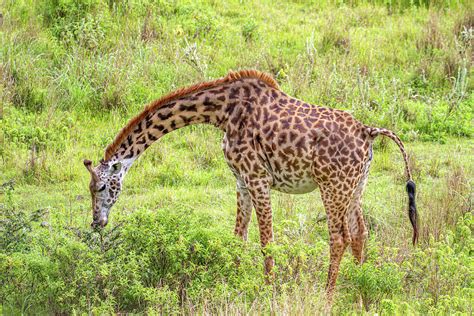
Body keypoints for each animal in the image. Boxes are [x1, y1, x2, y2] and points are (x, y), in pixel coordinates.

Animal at [83, 69, 416, 304]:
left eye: (101, 188)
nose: (96, 222)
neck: (222, 112)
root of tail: (368, 132)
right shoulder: (241, 181)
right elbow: (238, 238)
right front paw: (233, 281)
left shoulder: (258, 178)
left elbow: (266, 240)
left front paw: (268, 291)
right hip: (356, 186)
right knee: (360, 233)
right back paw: (361, 288)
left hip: (332, 186)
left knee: (339, 237)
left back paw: (328, 297)